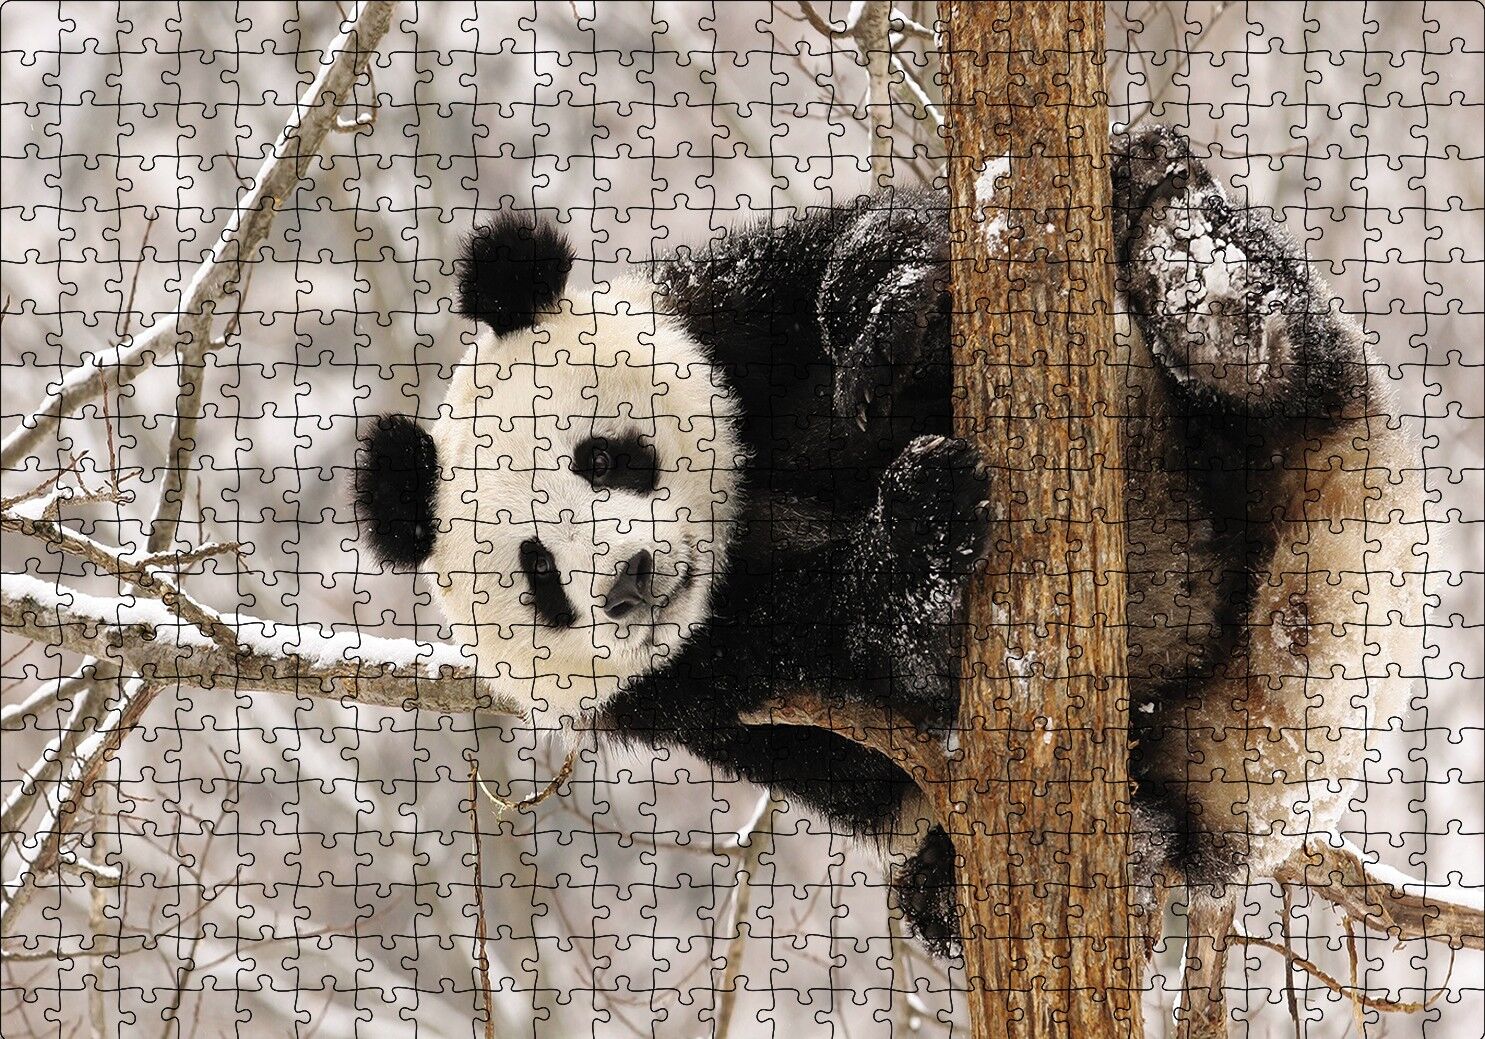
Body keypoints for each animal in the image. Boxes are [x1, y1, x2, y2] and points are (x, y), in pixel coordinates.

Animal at [355, 128, 1421, 954]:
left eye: (603, 457)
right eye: (538, 573)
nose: (629, 579)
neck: (739, 523)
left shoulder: (727, 321)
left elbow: (855, 262)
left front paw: (886, 309)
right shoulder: (694, 685)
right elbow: (862, 684)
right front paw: (922, 516)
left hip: (1293, 448)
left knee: (1262, 348)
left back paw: (1168, 213)